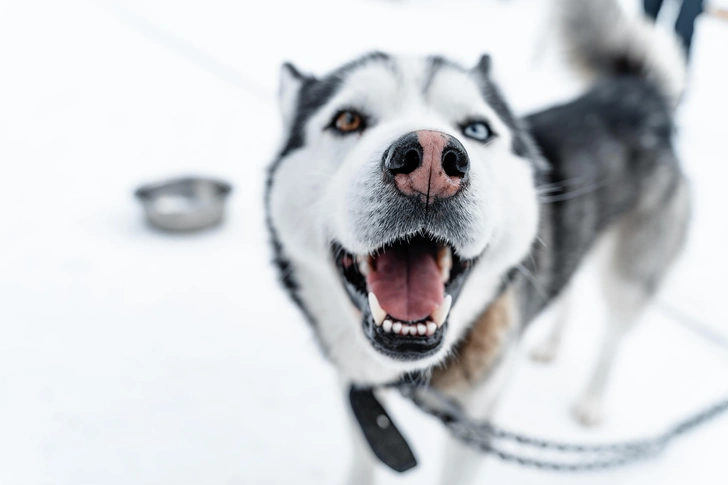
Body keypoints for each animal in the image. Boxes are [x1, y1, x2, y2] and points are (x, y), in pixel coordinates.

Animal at [266, 0, 688, 480]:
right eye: (348, 119)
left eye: (479, 129)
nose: (431, 158)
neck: (409, 372)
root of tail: (638, 95)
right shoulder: (357, 392)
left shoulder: (474, 424)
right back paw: (550, 344)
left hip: (629, 277)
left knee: (614, 337)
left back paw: (592, 401)